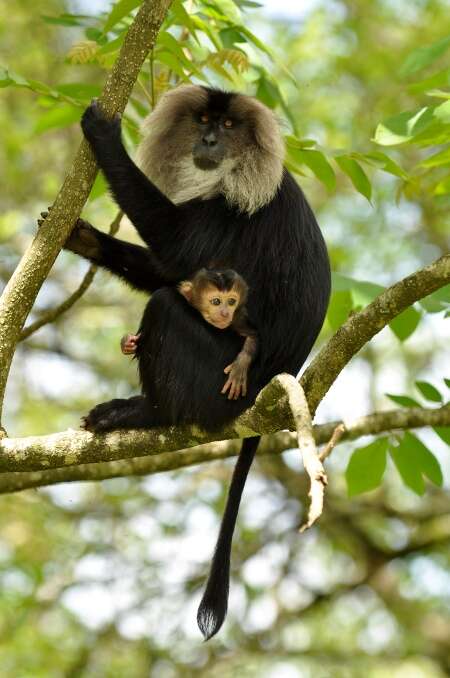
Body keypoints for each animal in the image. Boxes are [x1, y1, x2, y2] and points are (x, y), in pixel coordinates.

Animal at [121, 270, 258, 402]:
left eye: (231, 302)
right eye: (216, 302)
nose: (225, 313)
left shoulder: (238, 317)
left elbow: (251, 336)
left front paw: (240, 366)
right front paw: (127, 342)